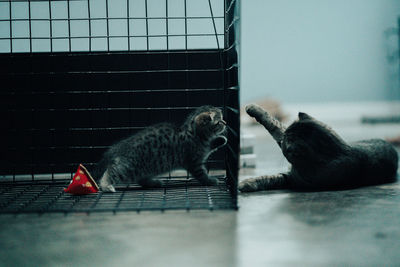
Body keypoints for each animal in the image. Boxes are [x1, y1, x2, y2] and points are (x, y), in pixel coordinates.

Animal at [92, 106, 227, 193]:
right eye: (219, 121)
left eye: (222, 119)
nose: (225, 123)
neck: (195, 135)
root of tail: (119, 147)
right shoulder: (193, 161)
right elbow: (201, 174)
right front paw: (209, 180)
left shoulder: (203, 148)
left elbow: (210, 145)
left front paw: (221, 139)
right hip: (129, 167)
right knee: (111, 172)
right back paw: (106, 185)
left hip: (143, 168)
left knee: (140, 179)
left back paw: (154, 183)